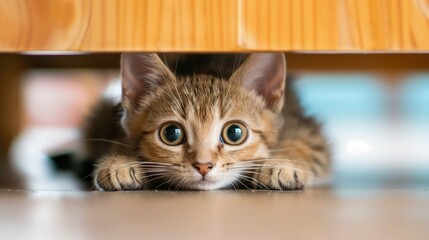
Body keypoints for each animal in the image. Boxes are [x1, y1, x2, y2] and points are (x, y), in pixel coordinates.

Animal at [85, 53, 330, 191]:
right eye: (171, 133)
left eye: (234, 133)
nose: (203, 166)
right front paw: (120, 162)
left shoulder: (306, 128)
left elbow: (306, 145)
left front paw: (282, 164)